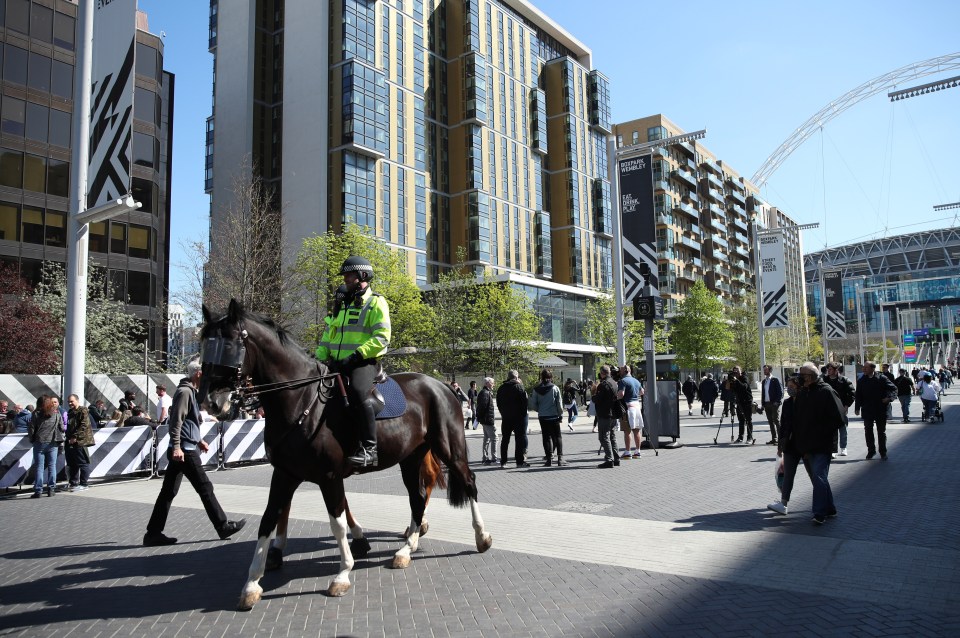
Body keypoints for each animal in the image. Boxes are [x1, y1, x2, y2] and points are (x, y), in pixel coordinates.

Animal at [199, 302, 492, 612]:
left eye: (229, 345)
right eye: (205, 344)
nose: (211, 402)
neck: (303, 401)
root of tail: (442, 385)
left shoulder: (329, 477)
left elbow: (337, 524)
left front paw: (342, 574)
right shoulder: (284, 474)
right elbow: (268, 520)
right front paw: (252, 583)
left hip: (451, 450)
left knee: (468, 483)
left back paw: (481, 537)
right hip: (411, 458)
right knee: (418, 496)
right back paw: (405, 549)